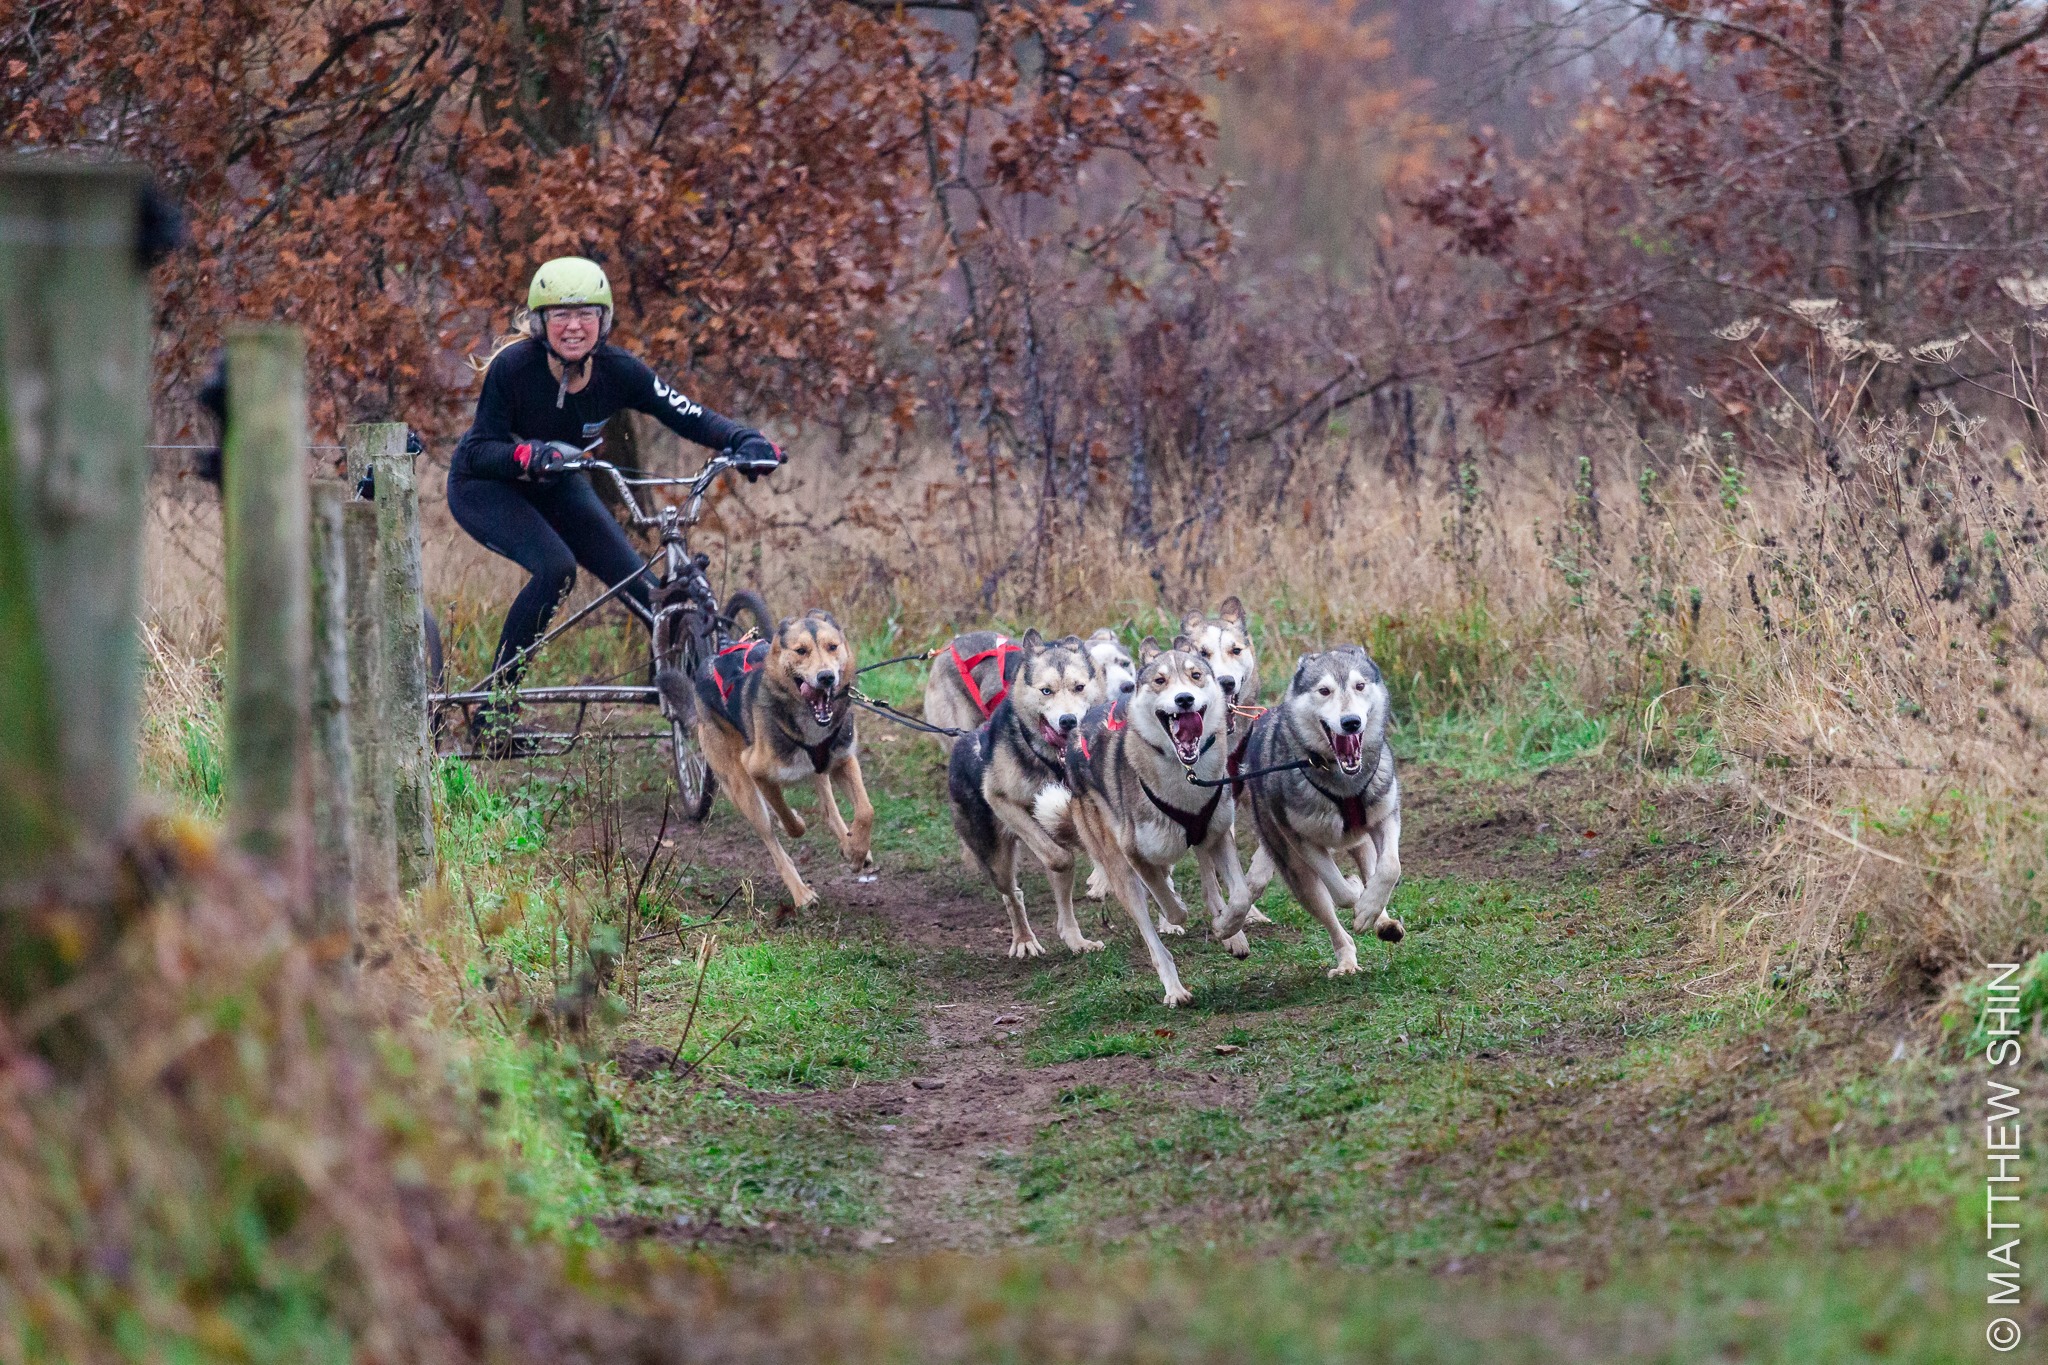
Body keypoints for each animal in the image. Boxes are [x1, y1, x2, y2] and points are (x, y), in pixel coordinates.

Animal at [696, 609, 872, 908]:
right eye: (801, 651)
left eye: (832, 646)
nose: (826, 677)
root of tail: (709, 662)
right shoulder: (756, 770)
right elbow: (788, 819)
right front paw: (796, 822)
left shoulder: (842, 761)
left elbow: (865, 811)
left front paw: (856, 851)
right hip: (742, 788)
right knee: (772, 840)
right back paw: (801, 894)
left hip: (820, 770)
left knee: (829, 810)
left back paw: (849, 844)